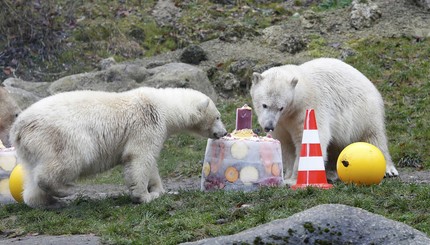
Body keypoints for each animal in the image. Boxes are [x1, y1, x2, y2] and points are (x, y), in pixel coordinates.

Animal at [10, 87, 227, 208]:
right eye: (217, 116)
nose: (224, 133)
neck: (164, 106)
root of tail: (18, 128)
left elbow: (151, 163)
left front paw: (160, 190)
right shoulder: (147, 123)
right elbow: (139, 157)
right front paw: (144, 196)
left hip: (29, 149)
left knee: (31, 174)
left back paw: (46, 201)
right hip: (61, 136)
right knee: (66, 161)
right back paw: (65, 190)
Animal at [250, 58, 398, 186]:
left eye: (281, 107)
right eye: (264, 105)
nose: (268, 126)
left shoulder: (308, 109)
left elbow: (309, 139)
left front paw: (294, 180)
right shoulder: (281, 123)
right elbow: (286, 144)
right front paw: (287, 177)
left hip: (364, 112)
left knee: (374, 136)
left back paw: (388, 169)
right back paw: (332, 172)